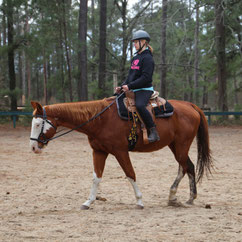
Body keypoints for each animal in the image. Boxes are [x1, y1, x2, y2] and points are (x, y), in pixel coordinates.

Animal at [29, 97, 212, 210]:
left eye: (38, 124)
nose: (33, 148)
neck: (100, 120)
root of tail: (190, 105)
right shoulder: (99, 151)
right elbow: (96, 178)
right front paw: (88, 202)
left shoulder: (120, 151)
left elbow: (130, 174)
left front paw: (139, 201)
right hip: (174, 146)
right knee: (187, 167)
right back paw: (182, 197)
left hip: (181, 146)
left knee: (185, 167)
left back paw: (180, 196)